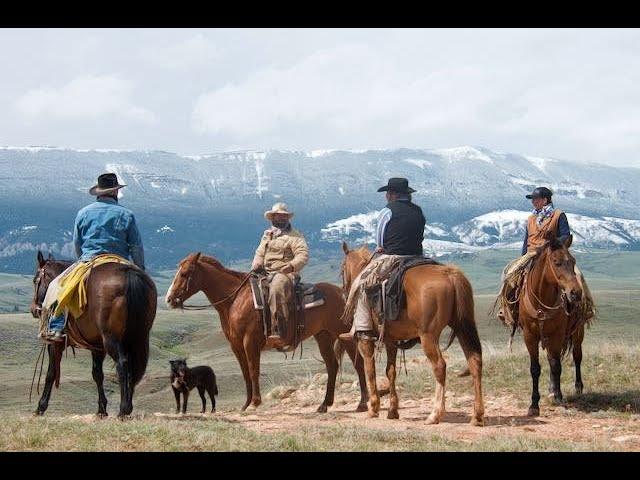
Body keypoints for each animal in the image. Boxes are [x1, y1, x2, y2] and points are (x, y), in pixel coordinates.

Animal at [30, 251, 159, 416]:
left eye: (35, 281)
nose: (34, 309)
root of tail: (129, 275)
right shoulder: (97, 346)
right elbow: (97, 374)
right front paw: (101, 409)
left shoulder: (55, 344)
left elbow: (51, 373)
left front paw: (41, 407)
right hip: (138, 337)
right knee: (133, 368)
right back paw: (128, 407)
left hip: (111, 339)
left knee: (122, 364)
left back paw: (123, 410)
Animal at [165, 251, 368, 412]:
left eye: (184, 273)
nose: (169, 299)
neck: (235, 300)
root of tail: (343, 293)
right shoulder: (236, 346)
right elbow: (245, 373)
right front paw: (246, 404)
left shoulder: (250, 342)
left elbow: (254, 370)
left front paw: (255, 402)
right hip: (324, 336)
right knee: (332, 366)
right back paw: (324, 405)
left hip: (343, 335)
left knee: (358, 364)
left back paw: (362, 404)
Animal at [340, 242, 484, 426]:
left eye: (341, 269)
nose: (344, 291)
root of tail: (450, 274)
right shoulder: (391, 341)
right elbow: (390, 371)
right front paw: (393, 410)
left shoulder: (365, 340)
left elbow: (370, 370)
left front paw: (373, 408)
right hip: (462, 327)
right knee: (475, 361)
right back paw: (477, 415)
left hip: (428, 336)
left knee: (440, 367)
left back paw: (435, 414)